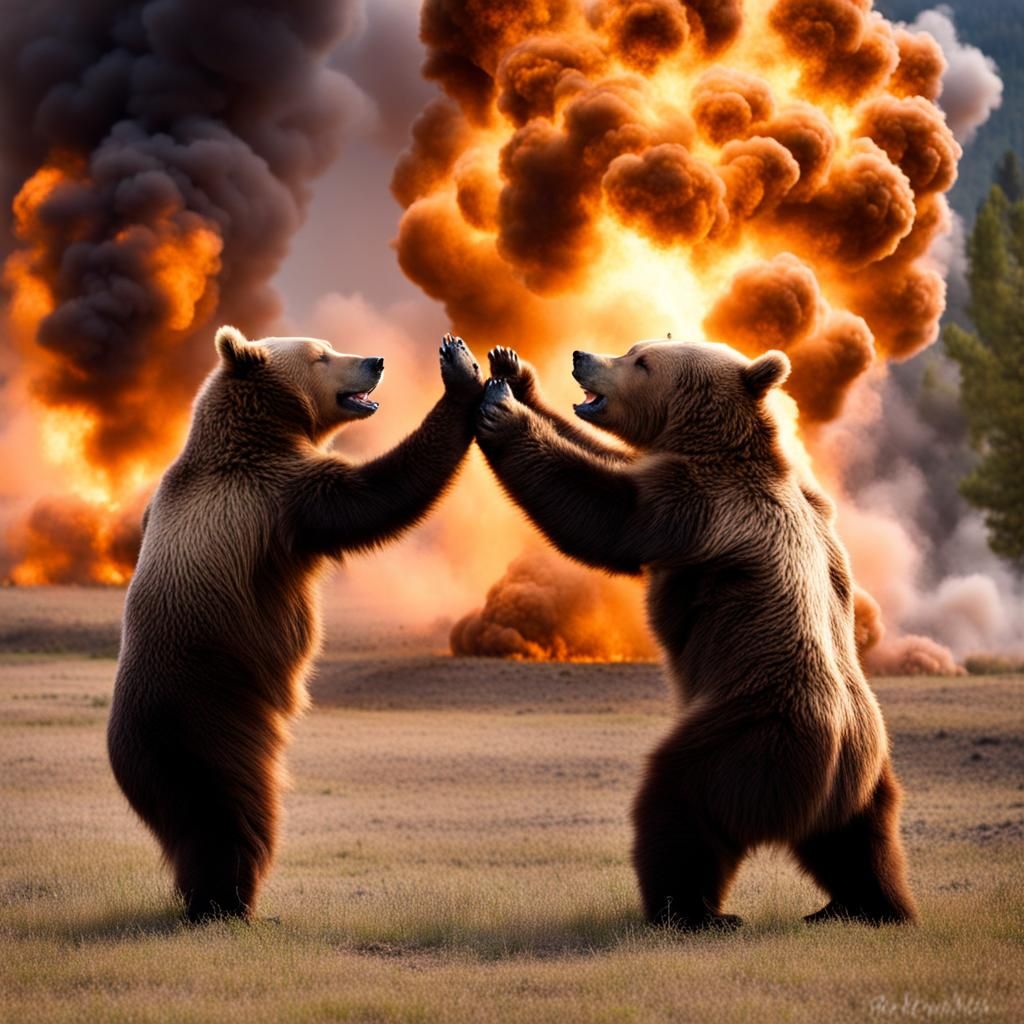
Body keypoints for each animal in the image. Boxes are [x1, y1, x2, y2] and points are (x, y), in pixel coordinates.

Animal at [108, 327, 483, 921]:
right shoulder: (275, 498)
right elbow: (372, 497)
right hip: (209, 726)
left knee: (187, 832)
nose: (375, 360)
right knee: (233, 819)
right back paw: (227, 904)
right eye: (322, 355)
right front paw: (461, 376)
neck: (261, 433)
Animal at [474, 340, 917, 929]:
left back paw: (688, 910)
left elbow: (603, 513)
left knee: (677, 808)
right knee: (862, 844)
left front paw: (501, 409)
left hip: (746, 735)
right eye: (635, 348)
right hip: (867, 777)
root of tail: (832, 768)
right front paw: (514, 371)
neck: (713, 447)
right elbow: (610, 461)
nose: (582, 356)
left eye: (642, 362)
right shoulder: (810, 501)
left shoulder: (699, 509)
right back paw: (868, 905)